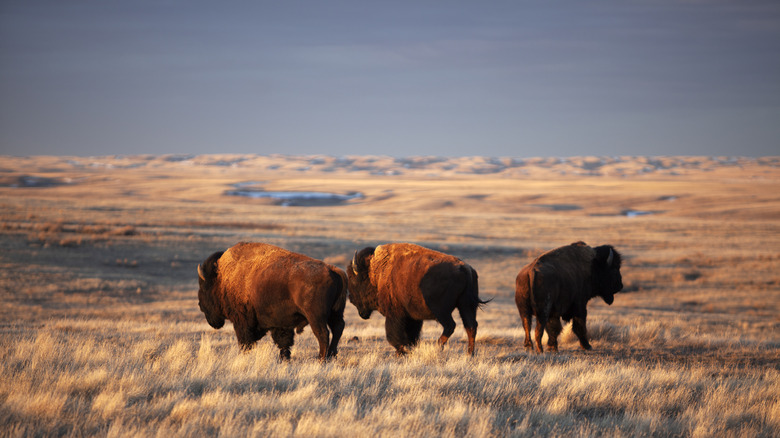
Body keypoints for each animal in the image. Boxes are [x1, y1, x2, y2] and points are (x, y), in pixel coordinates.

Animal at [197, 242, 347, 360]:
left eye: (203, 287)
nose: (200, 305)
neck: (221, 279)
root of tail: (332, 269)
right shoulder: (280, 322)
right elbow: (283, 341)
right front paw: (284, 359)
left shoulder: (242, 321)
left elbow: (245, 341)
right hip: (335, 312)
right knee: (337, 329)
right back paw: (331, 355)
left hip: (316, 317)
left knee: (323, 334)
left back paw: (321, 359)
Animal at [347, 243, 488, 356]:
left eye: (354, 280)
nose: (351, 299)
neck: (375, 273)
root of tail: (465, 269)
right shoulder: (412, 316)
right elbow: (411, 333)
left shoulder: (395, 314)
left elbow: (393, 334)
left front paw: (402, 351)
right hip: (466, 306)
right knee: (470, 326)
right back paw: (469, 354)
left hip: (441, 310)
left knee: (451, 325)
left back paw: (438, 347)